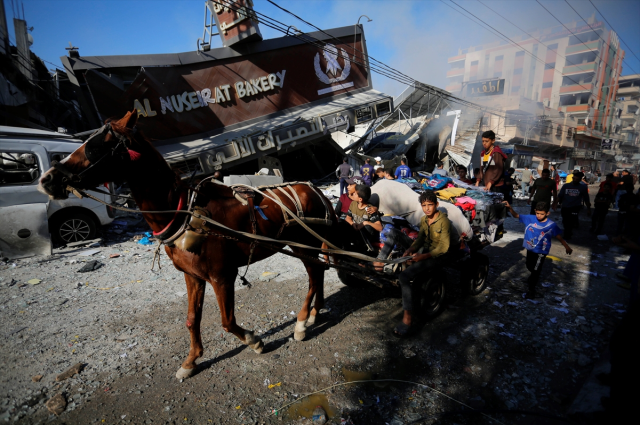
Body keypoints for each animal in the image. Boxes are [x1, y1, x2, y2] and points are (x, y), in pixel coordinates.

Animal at [37, 110, 336, 378]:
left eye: (96, 146)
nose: (48, 179)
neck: (181, 211)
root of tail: (314, 189)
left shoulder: (221, 275)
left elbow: (227, 321)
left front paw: (254, 341)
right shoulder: (193, 276)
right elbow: (193, 319)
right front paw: (191, 361)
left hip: (303, 245)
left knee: (313, 275)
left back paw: (301, 322)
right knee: (319, 272)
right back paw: (314, 313)